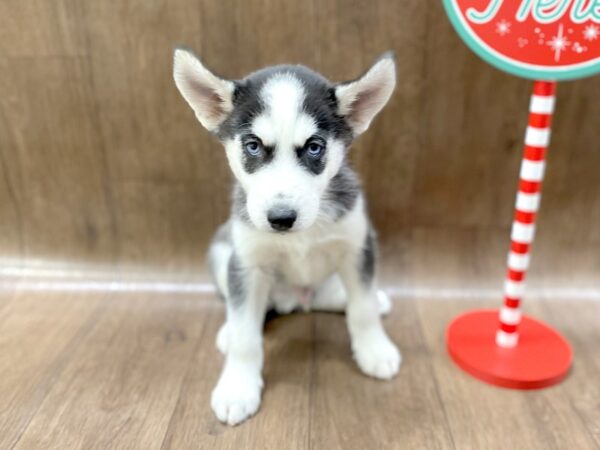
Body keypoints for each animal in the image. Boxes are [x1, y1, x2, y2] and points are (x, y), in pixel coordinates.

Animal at [172, 49, 398, 426]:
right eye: (252, 146)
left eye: (314, 147)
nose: (281, 218)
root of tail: (297, 300)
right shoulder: (246, 264)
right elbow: (246, 336)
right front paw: (238, 387)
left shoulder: (358, 247)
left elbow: (362, 308)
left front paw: (374, 349)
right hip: (221, 251)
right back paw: (229, 330)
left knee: (342, 298)